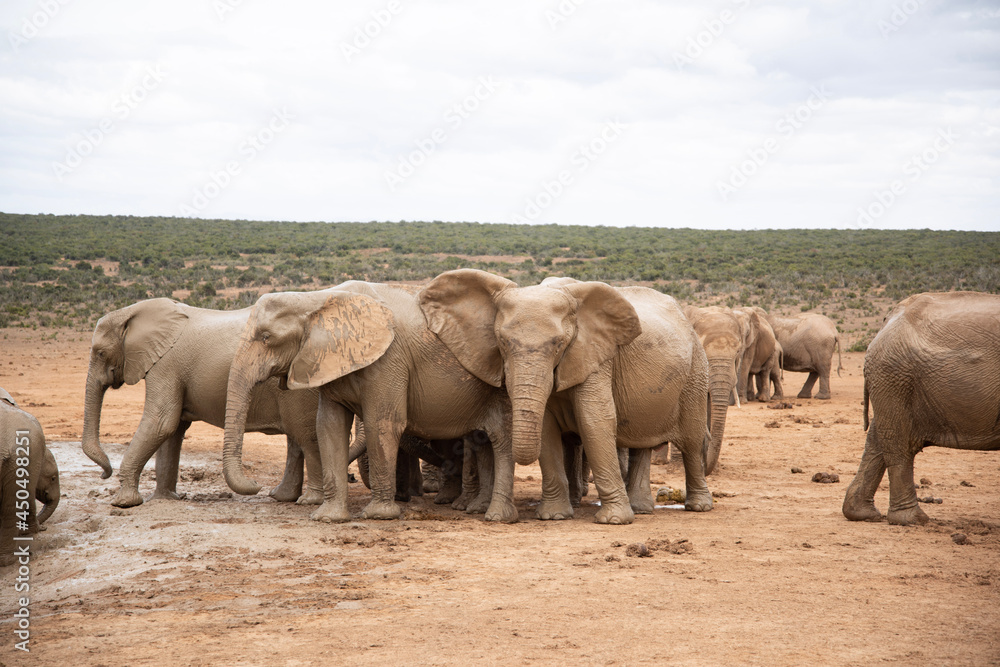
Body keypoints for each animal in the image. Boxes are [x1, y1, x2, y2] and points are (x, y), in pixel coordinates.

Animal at [82, 298, 323, 508]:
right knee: (296, 438)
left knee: (303, 436)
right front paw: (163, 499)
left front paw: (123, 503)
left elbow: (161, 423)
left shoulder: (165, 365)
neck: (133, 313)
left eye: (101, 353)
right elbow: (172, 430)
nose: (104, 473)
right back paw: (281, 497)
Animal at [222, 281, 518, 523]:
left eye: (266, 338)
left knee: (497, 439)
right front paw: (328, 518)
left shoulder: (389, 359)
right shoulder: (331, 362)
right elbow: (329, 426)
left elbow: (383, 424)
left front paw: (379, 515)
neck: (317, 299)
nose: (257, 484)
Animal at [420, 270, 713, 525]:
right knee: (641, 442)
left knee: (692, 440)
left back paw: (699, 506)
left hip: (696, 373)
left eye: (558, 344)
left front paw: (614, 521)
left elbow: (595, 420)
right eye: (502, 342)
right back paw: (640, 509)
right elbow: (547, 427)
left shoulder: (595, 355)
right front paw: (554, 516)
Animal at [843, 291, 1000, 526]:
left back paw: (863, 514)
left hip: (893, 380)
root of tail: (889, 319)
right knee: (899, 442)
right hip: (896, 377)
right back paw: (913, 519)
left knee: (878, 438)